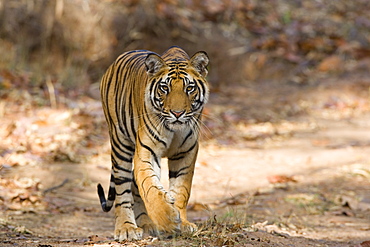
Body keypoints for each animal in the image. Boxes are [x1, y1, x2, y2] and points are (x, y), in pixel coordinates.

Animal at [97, 45, 210, 240]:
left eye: (189, 88)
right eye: (164, 88)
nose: (177, 113)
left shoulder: (186, 153)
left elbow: (181, 190)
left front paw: (182, 223)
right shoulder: (146, 152)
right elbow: (150, 187)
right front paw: (168, 219)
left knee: (134, 185)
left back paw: (147, 224)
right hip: (120, 146)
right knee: (123, 189)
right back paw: (127, 228)